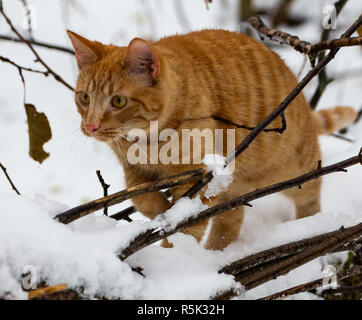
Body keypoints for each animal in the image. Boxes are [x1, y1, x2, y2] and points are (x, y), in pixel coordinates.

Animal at [66, 29, 356, 250]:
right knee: (231, 218)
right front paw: (160, 211)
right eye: (84, 97)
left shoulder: (198, 178)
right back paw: (214, 256)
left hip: (295, 170)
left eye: (118, 101)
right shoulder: (134, 172)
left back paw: (309, 227)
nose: (90, 125)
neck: (147, 143)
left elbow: (186, 225)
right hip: (232, 186)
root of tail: (303, 105)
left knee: (310, 193)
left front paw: (172, 257)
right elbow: (143, 199)